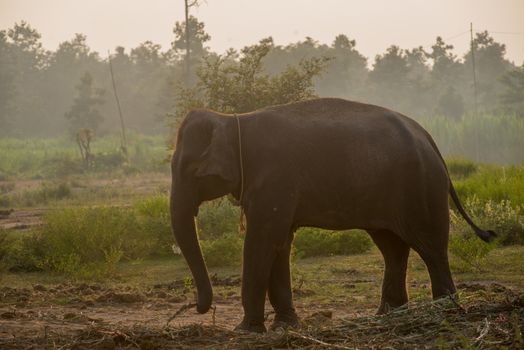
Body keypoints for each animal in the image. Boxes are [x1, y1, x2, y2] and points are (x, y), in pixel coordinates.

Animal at [169, 97, 496, 332]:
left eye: (187, 169)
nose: (198, 308)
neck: (232, 119)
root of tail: (429, 139)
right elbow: (279, 242)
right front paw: (285, 326)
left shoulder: (275, 179)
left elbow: (262, 241)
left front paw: (245, 331)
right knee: (392, 247)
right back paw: (387, 315)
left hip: (421, 187)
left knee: (431, 248)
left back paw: (443, 311)